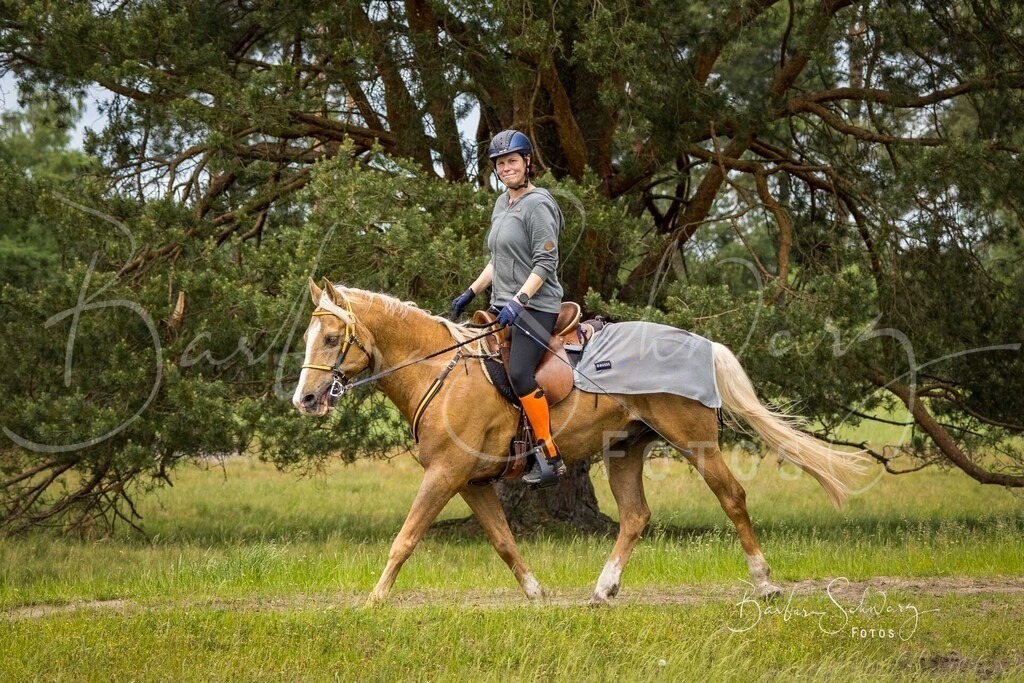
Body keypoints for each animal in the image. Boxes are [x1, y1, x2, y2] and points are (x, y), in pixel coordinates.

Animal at [292, 279, 868, 606]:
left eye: (331, 338)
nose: (306, 399)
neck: (442, 371)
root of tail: (702, 343)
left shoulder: (445, 475)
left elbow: (406, 537)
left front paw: (374, 600)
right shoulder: (472, 482)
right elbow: (504, 541)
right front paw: (536, 593)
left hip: (696, 442)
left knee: (732, 498)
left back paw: (765, 583)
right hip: (625, 448)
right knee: (635, 516)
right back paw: (602, 589)